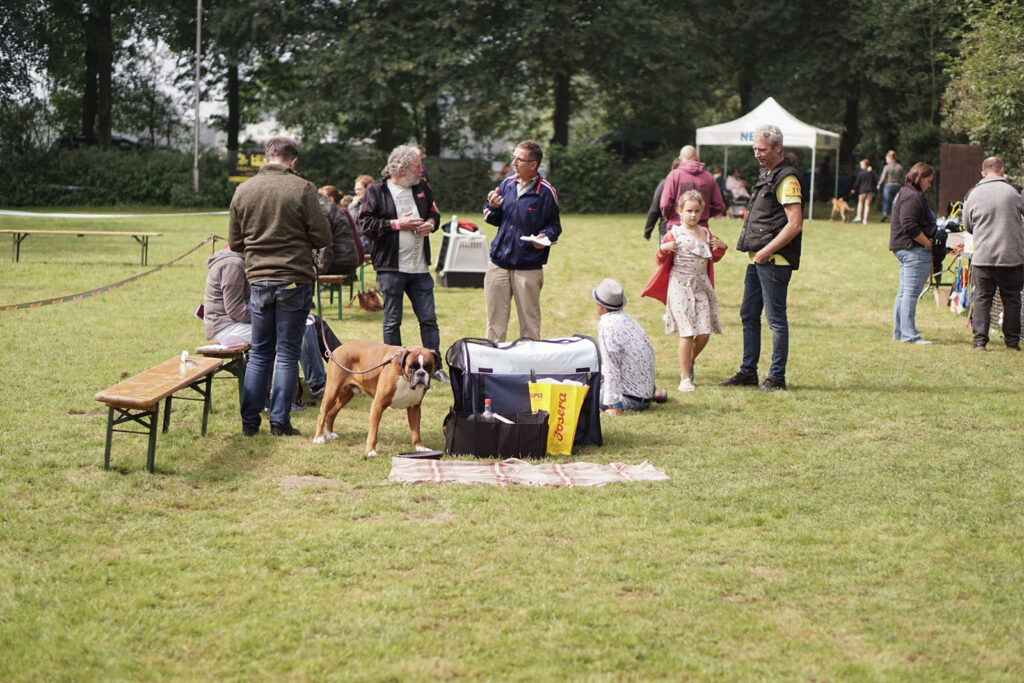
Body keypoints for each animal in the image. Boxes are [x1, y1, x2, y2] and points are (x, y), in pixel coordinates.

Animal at [311, 339, 440, 456]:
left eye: (428, 366)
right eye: (411, 367)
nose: (421, 373)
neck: (404, 376)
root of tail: (336, 349)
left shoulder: (414, 408)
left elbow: (416, 431)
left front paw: (420, 447)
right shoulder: (378, 405)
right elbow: (373, 432)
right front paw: (370, 451)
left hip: (345, 395)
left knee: (331, 413)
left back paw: (329, 433)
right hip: (332, 390)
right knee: (322, 414)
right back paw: (319, 438)